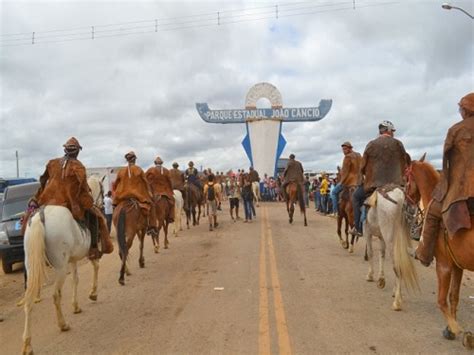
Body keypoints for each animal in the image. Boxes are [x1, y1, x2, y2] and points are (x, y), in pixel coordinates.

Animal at [20, 176, 103, 355]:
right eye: (101, 187)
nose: (102, 205)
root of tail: (39, 217)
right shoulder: (88, 253)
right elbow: (95, 266)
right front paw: (93, 293)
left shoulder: (73, 260)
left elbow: (76, 279)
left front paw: (76, 306)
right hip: (60, 268)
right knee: (56, 295)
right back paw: (63, 324)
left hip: (32, 267)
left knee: (29, 300)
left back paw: (27, 344)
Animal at [404, 155, 474, 348]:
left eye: (406, 179)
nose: (407, 207)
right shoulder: (457, 266)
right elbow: (453, 297)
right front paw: (450, 329)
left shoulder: (443, 265)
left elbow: (442, 301)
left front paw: (457, 330)